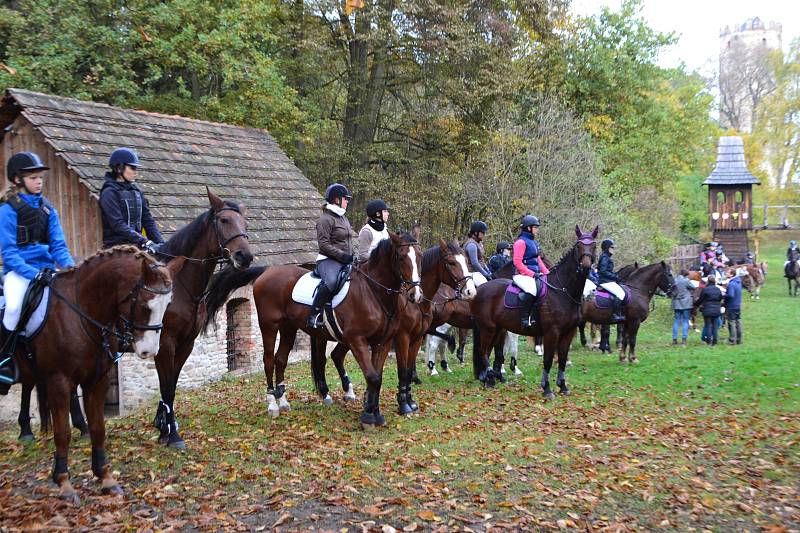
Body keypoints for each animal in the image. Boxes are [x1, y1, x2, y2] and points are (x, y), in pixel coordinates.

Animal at [13, 246, 183, 502]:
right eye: (146, 306)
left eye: (168, 304)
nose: (149, 351)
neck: (80, 314)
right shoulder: (58, 382)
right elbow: (62, 433)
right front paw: (64, 483)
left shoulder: (97, 381)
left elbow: (98, 429)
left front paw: (105, 477)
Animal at [148, 189, 252, 446]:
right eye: (224, 220)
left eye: (244, 223)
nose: (244, 257)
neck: (180, 287)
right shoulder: (165, 344)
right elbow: (167, 386)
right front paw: (172, 435)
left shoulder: (185, 344)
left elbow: (171, 385)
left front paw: (164, 426)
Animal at [203, 233, 422, 428]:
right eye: (401, 257)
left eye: (419, 257)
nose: (416, 295)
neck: (373, 292)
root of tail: (267, 270)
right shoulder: (357, 341)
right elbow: (373, 377)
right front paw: (369, 417)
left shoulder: (382, 342)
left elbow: (377, 377)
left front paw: (375, 412)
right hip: (269, 326)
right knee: (268, 360)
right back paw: (273, 404)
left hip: (289, 328)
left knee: (281, 360)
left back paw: (283, 401)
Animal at [472, 224, 596, 394]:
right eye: (579, 245)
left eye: (594, 245)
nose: (586, 267)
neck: (562, 291)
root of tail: (480, 288)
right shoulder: (552, 332)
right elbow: (548, 360)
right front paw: (547, 389)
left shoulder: (568, 332)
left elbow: (562, 359)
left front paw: (563, 386)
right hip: (488, 329)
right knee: (483, 351)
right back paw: (490, 379)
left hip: (496, 329)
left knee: (487, 351)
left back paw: (488, 379)